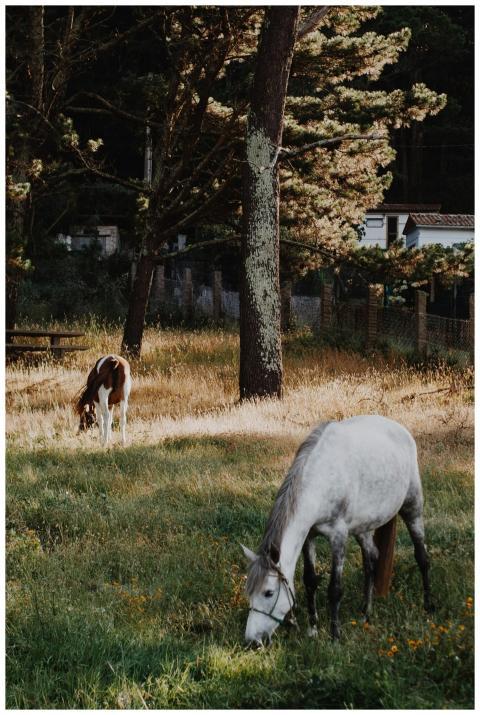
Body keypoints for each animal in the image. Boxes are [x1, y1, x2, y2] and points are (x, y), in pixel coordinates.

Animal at [241, 415, 433, 647]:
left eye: (268, 593)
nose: (252, 641)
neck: (321, 479)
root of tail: (402, 430)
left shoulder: (338, 537)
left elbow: (335, 589)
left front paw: (335, 636)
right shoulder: (309, 536)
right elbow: (310, 581)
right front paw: (313, 629)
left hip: (412, 508)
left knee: (422, 557)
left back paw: (428, 606)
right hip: (363, 527)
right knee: (372, 559)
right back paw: (366, 612)